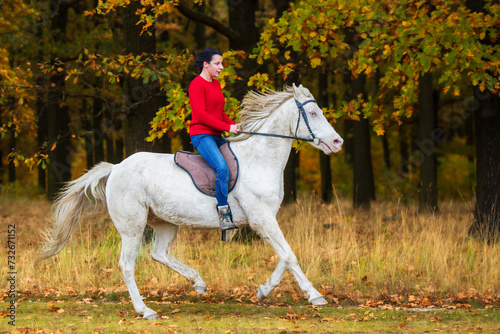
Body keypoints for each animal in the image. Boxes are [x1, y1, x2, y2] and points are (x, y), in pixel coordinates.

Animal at [39, 83, 344, 318]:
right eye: (313, 113)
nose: (337, 142)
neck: (260, 159)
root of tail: (115, 168)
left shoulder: (266, 218)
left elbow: (285, 255)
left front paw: (262, 291)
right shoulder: (261, 218)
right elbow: (289, 255)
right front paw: (315, 296)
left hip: (164, 222)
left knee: (159, 253)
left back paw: (198, 284)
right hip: (132, 227)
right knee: (127, 265)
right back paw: (145, 310)